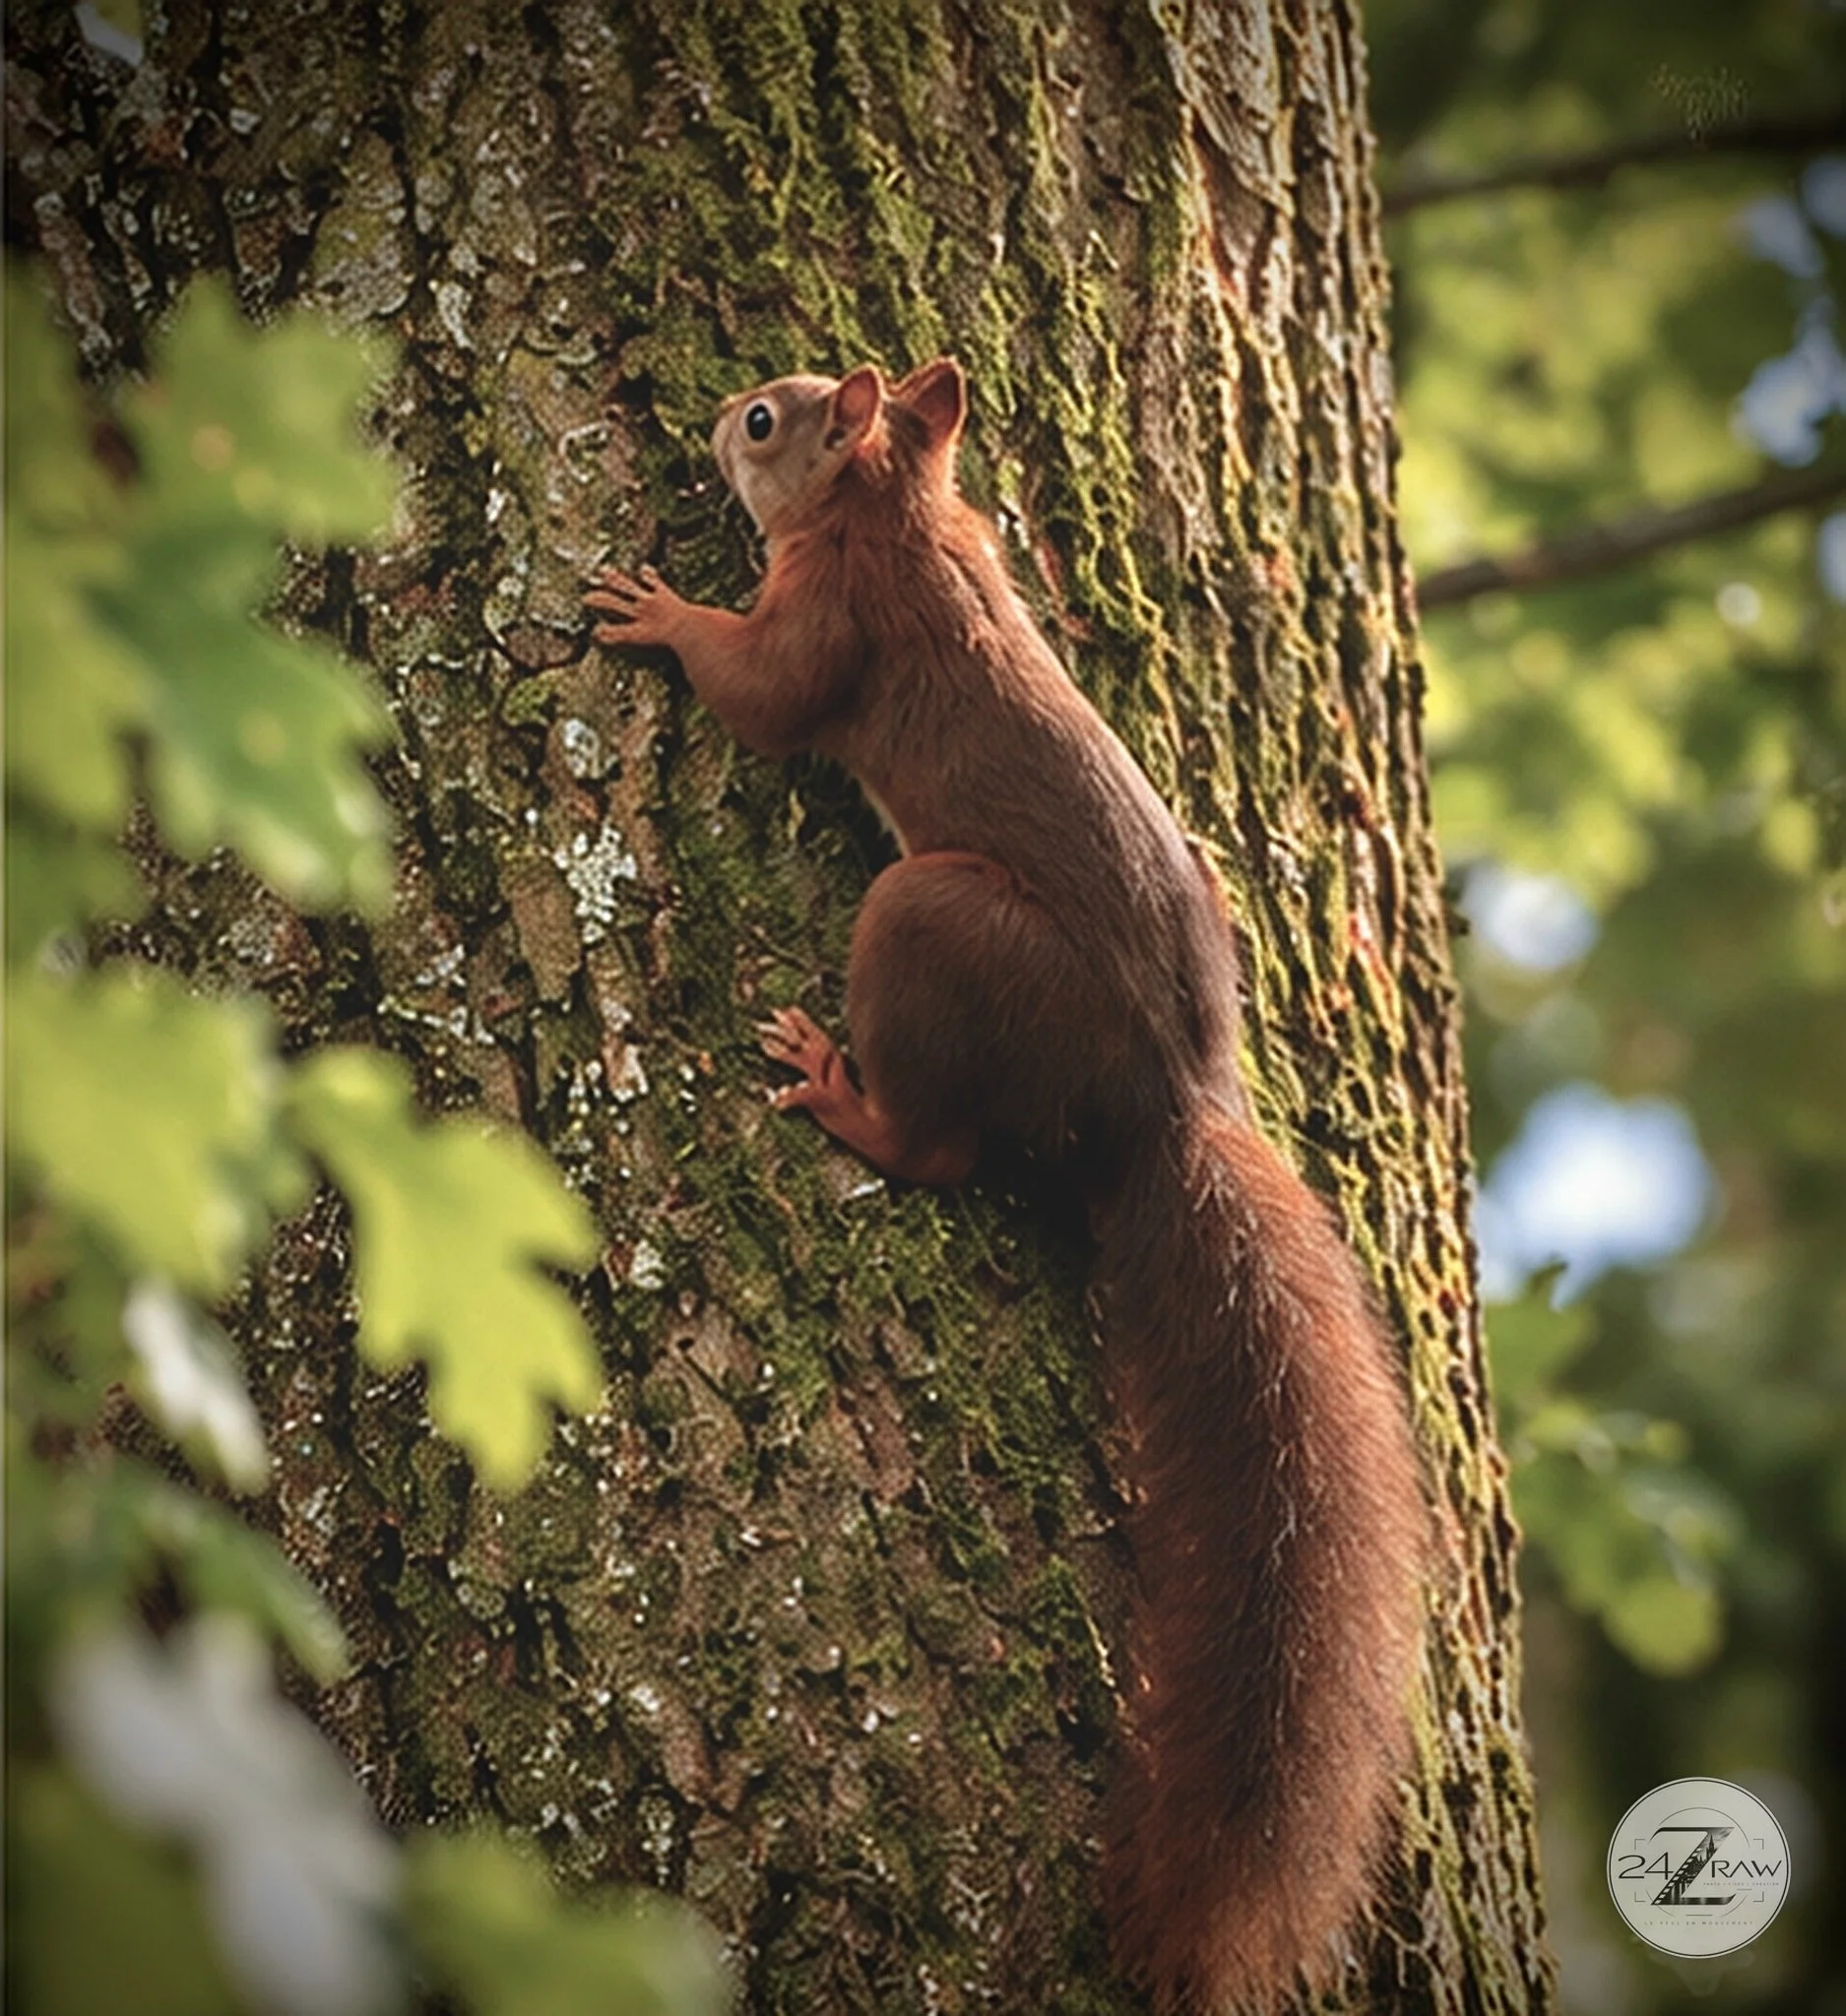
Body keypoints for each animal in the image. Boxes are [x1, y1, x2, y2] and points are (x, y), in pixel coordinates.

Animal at [585, 359, 1427, 2013]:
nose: (717, 415)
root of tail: (1167, 1099)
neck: (898, 512)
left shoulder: (829, 620)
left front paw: (655, 613)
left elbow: (760, 692)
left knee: (945, 1144)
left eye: (769, 418)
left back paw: (844, 1097)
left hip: (934, 923)